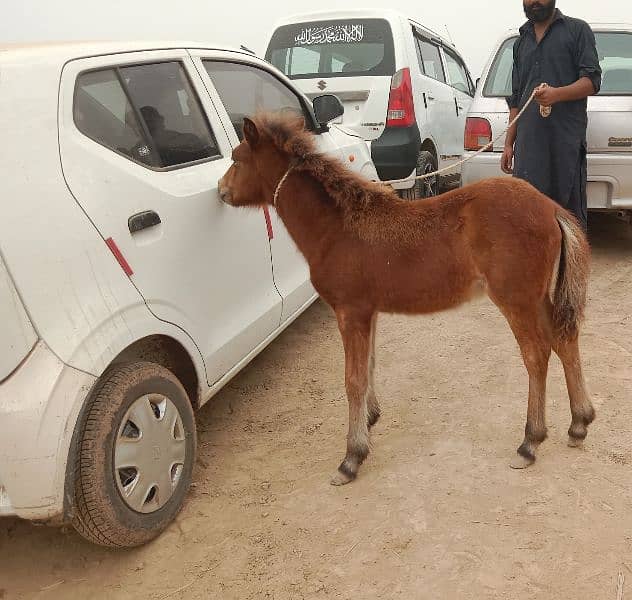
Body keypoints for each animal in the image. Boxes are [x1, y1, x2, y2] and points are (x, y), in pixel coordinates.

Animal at [217, 115, 592, 486]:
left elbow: (352, 380)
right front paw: (369, 419)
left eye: (237, 159)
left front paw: (352, 457)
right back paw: (579, 423)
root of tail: (551, 207)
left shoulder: (350, 311)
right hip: (538, 297)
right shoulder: (368, 312)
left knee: (536, 354)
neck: (336, 228)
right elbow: (368, 366)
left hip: (516, 298)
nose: (222, 191)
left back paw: (530, 441)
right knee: (564, 339)